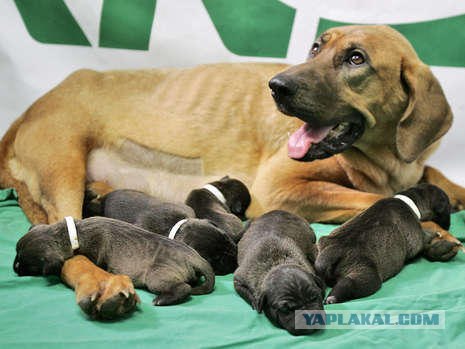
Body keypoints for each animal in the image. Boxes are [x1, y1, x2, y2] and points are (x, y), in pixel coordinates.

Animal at [14, 216, 214, 306]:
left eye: (27, 264)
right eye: (16, 252)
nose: (14, 268)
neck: (74, 233)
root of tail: (195, 257)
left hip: (157, 277)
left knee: (183, 288)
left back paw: (162, 299)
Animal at [316, 184, 456, 304]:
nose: (448, 226)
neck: (409, 201)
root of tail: (332, 252)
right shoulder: (416, 238)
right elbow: (424, 238)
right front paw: (434, 235)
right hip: (365, 274)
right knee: (350, 283)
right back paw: (334, 297)